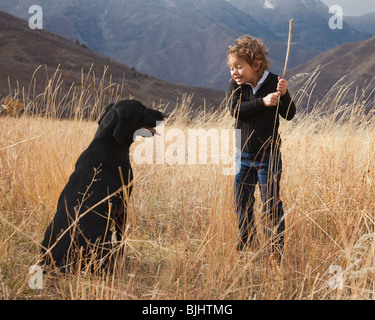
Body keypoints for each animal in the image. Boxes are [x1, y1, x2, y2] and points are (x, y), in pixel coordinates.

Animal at [41, 99, 164, 270]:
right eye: (142, 108)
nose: (163, 114)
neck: (107, 144)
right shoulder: (122, 204)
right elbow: (121, 235)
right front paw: (122, 256)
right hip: (104, 240)